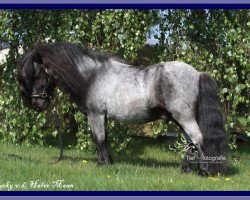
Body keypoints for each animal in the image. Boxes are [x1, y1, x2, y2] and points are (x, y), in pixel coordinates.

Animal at [17, 41, 229, 175]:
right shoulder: (102, 117)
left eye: (37, 75)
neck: (93, 76)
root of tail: (198, 73)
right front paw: (109, 162)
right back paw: (186, 169)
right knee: (190, 142)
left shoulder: (95, 115)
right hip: (180, 119)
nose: (37, 104)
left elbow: (99, 139)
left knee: (198, 139)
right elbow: (105, 140)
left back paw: (204, 171)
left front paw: (101, 165)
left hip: (184, 117)